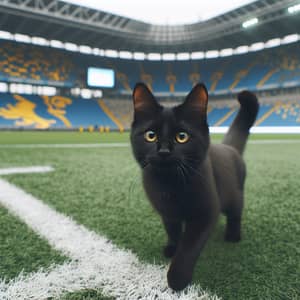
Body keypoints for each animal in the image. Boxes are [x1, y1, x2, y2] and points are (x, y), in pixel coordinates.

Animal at [130, 82, 258, 290]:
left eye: (182, 137)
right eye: (150, 136)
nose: (164, 151)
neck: (169, 184)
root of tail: (230, 147)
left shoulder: (205, 213)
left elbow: (189, 246)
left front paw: (177, 278)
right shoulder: (167, 212)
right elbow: (172, 231)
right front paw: (172, 248)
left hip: (235, 194)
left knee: (236, 212)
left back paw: (233, 235)